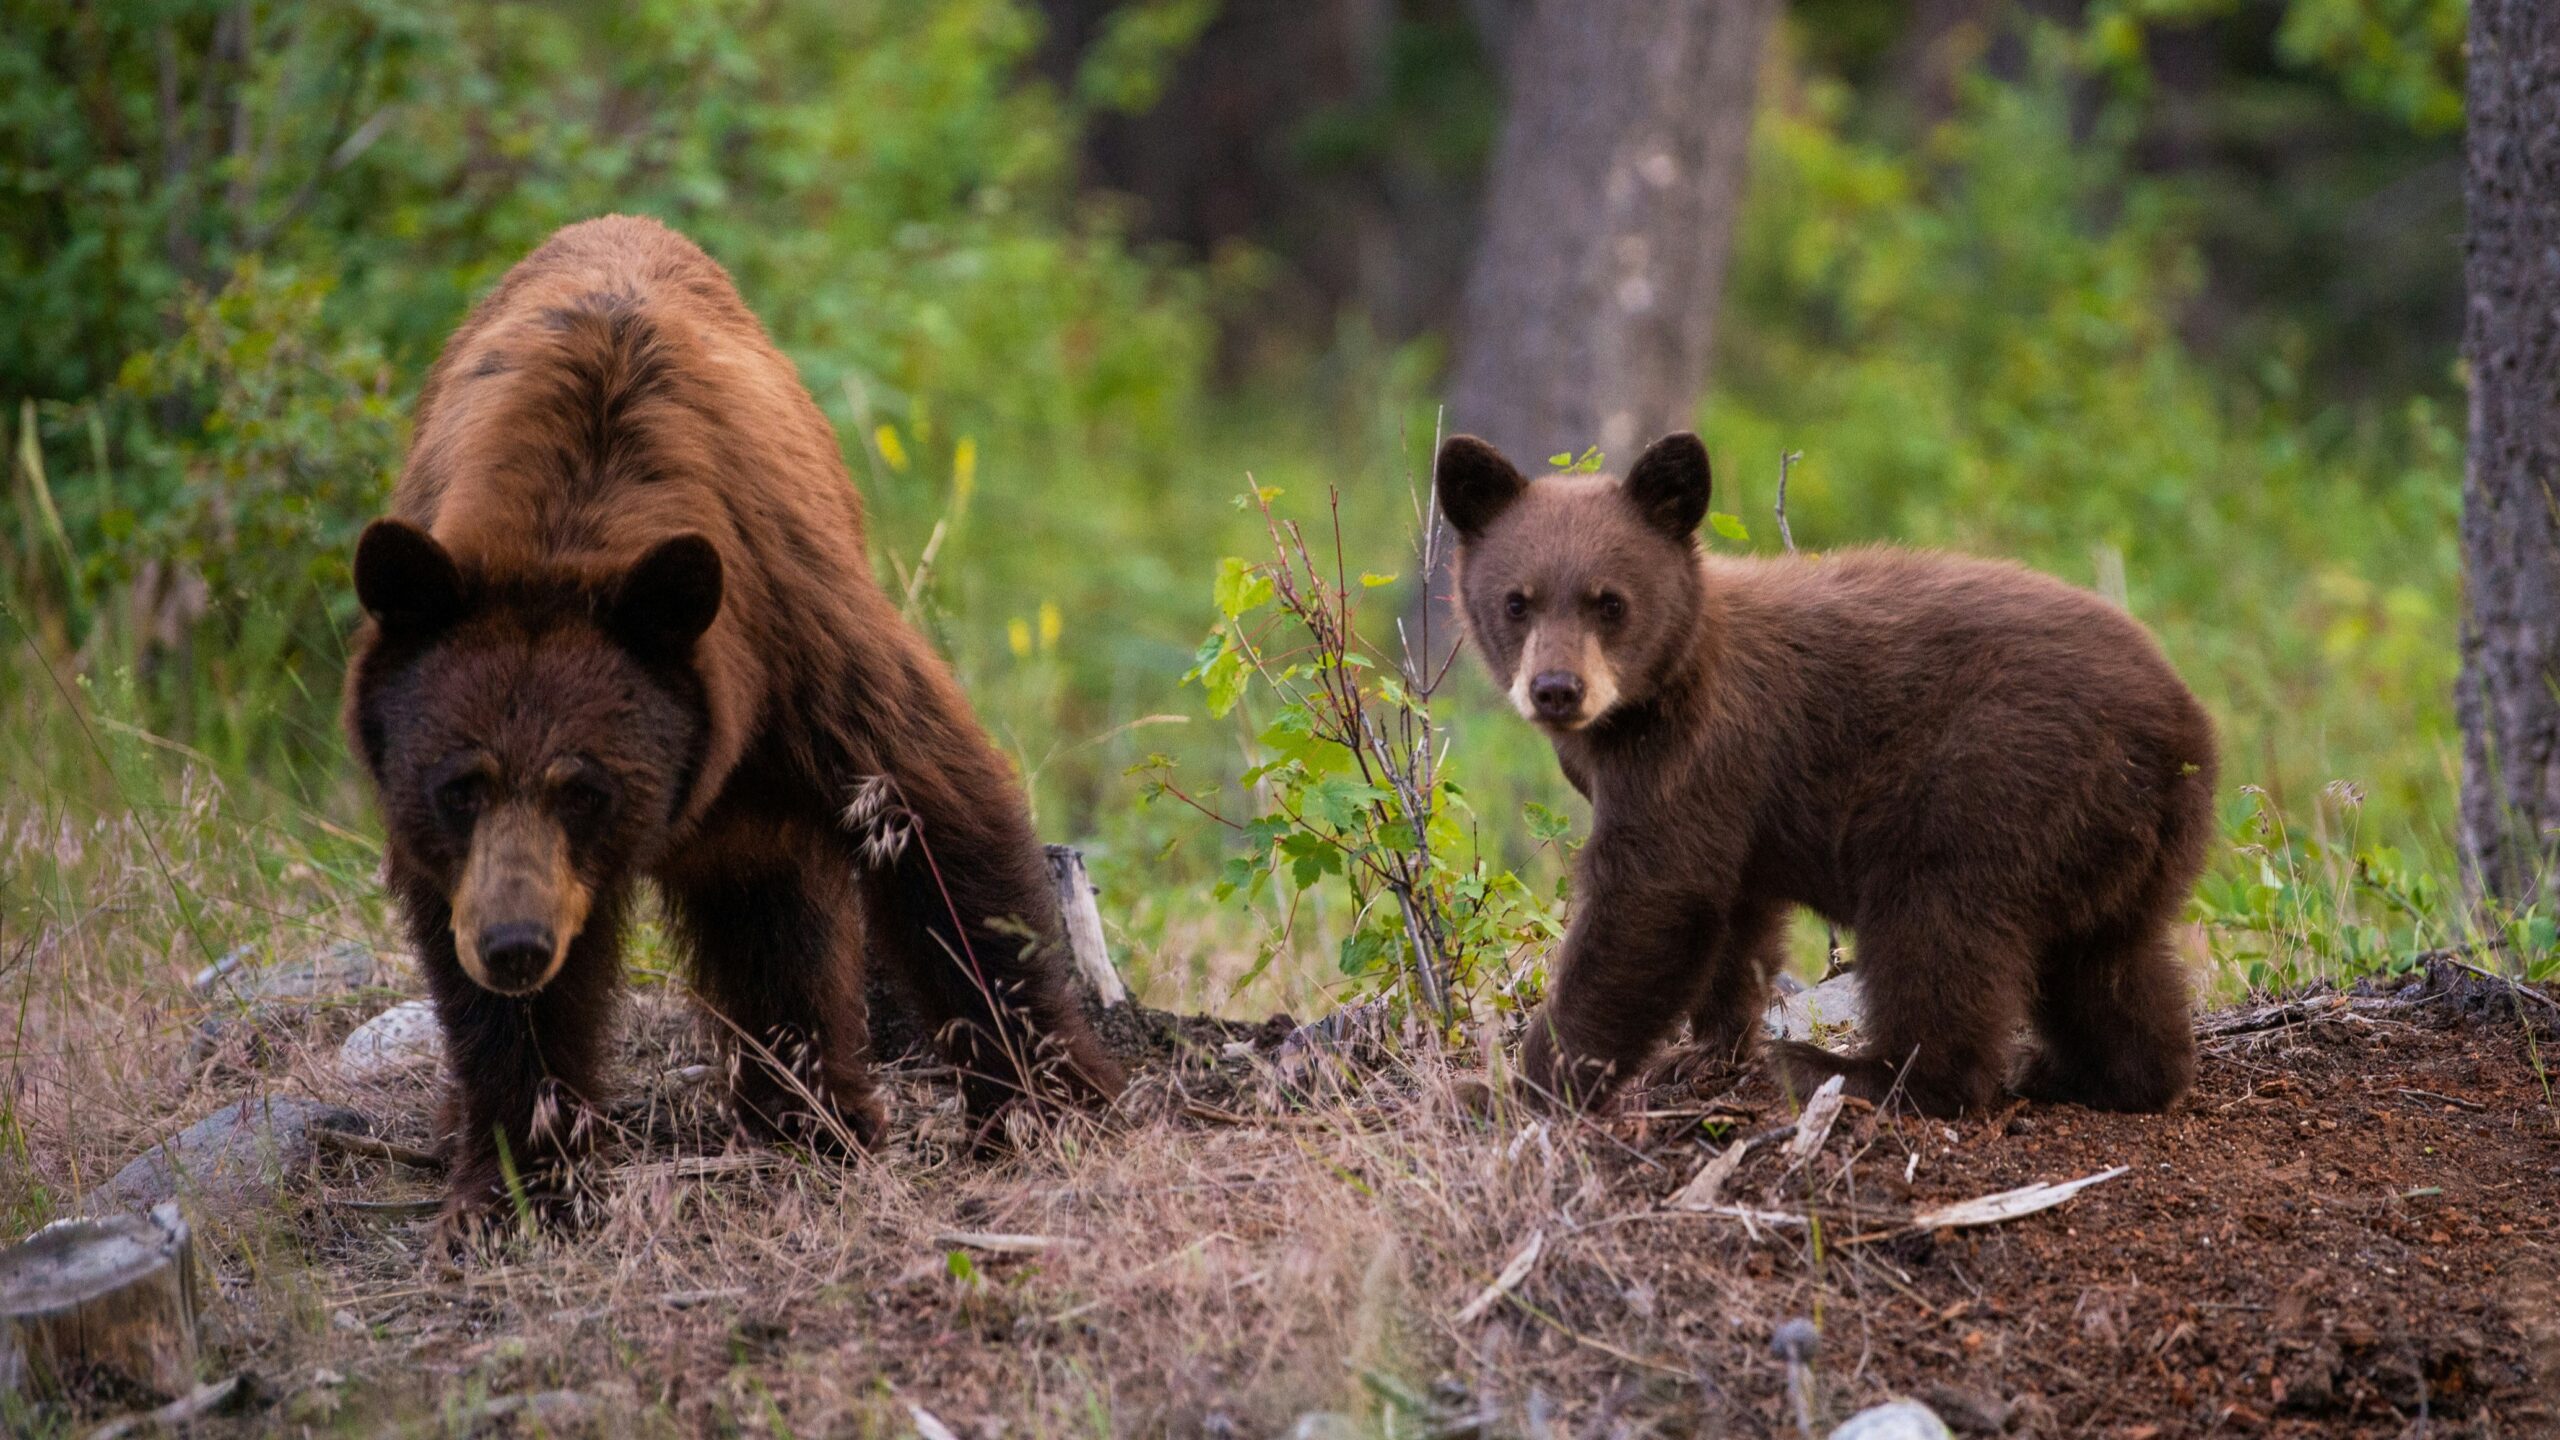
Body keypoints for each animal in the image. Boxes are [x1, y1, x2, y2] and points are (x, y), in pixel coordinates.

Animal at [345, 215, 1123, 1228]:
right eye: (458, 786)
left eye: (585, 787)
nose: (516, 946)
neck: (568, 523)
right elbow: (488, 999)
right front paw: (520, 1182)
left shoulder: (796, 638)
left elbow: (936, 818)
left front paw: (1048, 1103)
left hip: (759, 801)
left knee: (776, 923)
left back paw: (813, 1117)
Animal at [1435, 430, 2218, 1117]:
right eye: (1517, 601)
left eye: (1610, 602)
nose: (1556, 689)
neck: (1654, 693)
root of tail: (2183, 735)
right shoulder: (1729, 800)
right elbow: (1734, 916)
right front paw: (1705, 1051)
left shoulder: (1695, 752)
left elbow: (1650, 903)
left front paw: (1515, 1090)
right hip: (2115, 843)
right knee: (2108, 963)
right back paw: (2098, 1074)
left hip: (1994, 782)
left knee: (1937, 927)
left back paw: (1859, 1072)